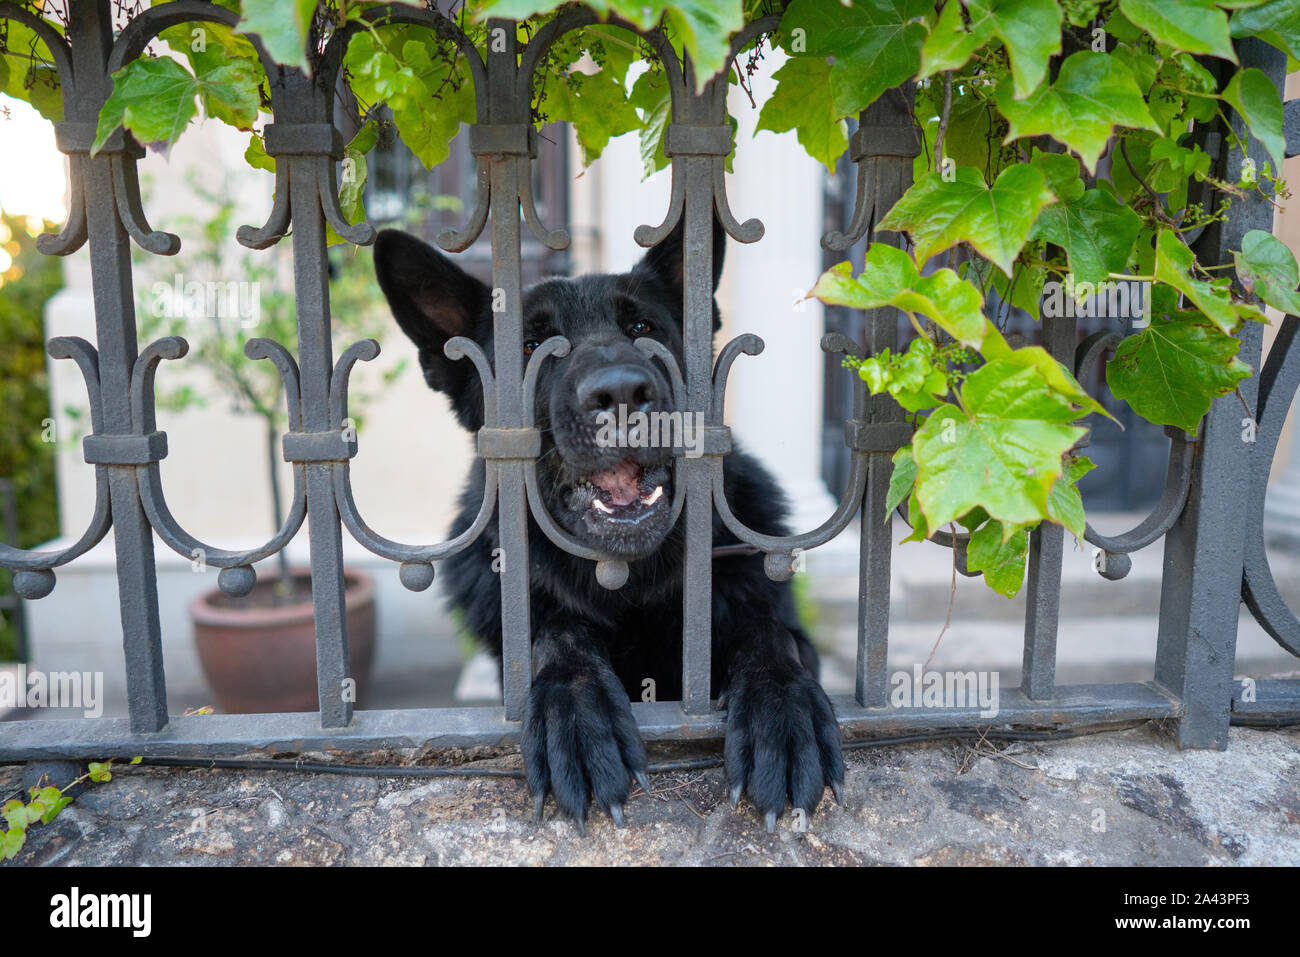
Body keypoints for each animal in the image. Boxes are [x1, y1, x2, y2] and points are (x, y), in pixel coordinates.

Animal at [377, 218, 842, 832]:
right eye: (530, 347)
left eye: (643, 328)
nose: (621, 391)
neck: (631, 590)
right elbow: (559, 637)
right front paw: (577, 716)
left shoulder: (772, 618)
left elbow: (769, 633)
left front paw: (783, 712)